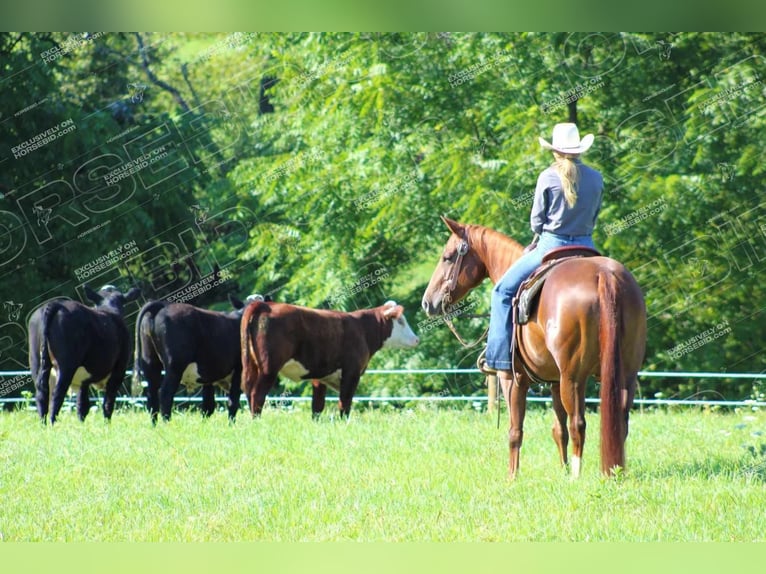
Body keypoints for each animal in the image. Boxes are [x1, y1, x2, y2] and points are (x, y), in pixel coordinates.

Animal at [32, 286, 143, 426]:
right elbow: (108, 403)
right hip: (66, 366)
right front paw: (107, 425)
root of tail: (57, 303)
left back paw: (43, 425)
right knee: (56, 395)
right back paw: (52, 424)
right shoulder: (119, 370)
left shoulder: (83, 381)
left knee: (42, 393)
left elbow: (83, 405)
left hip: (40, 364)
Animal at [132, 296, 264, 424]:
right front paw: (233, 425)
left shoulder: (209, 376)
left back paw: (154, 425)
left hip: (150, 363)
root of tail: (163, 305)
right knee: (165, 394)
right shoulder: (239, 370)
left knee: (152, 396)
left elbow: (208, 405)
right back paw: (166, 424)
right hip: (174, 367)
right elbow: (235, 400)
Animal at [242, 302, 420, 418]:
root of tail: (268, 305)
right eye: (401, 321)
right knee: (257, 395)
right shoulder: (351, 373)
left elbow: (317, 406)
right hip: (268, 369)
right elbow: (344, 403)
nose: (416, 339)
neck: (362, 329)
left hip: (252, 367)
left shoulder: (320, 377)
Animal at [420, 218, 648, 480]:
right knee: (618, 421)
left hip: (573, 378)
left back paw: (576, 476)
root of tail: (604, 275)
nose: (427, 302)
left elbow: (515, 431)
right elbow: (559, 430)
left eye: (447, 257)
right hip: (624, 375)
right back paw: (615, 471)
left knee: (578, 423)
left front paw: (512, 476)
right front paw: (561, 469)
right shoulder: (555, 382)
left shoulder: (513, 379)